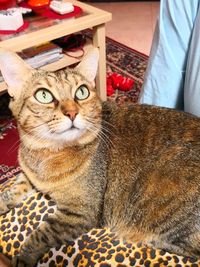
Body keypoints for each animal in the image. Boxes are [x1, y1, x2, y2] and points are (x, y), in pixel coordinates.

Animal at [0, 47, 200, 266]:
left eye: (82, 92)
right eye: (43, 95)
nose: (72, 113)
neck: (46, 154)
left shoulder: (79, 212)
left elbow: (40, 234)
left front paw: (23, 258)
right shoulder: (28, 174)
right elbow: (14, 188)